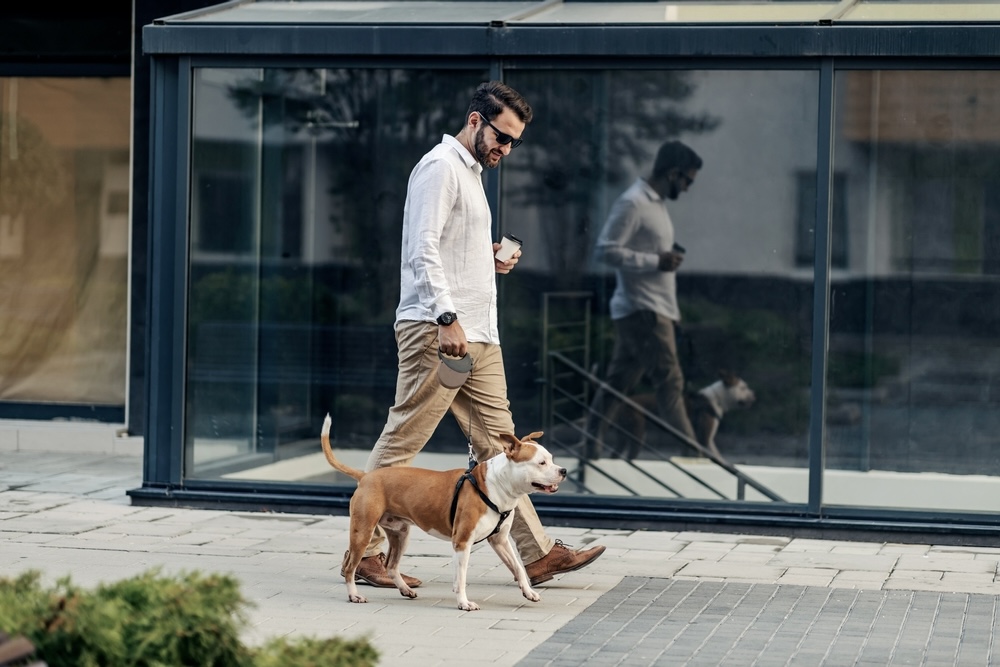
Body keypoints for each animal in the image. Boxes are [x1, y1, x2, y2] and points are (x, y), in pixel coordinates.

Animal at [322, 414, 568, 612]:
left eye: (552, 459)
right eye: (541, 463)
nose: (564, 470)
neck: (496, 484)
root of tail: (366, 476)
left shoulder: (500, 540)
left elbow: (517, 566)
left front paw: (528, 591)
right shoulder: (462, 542)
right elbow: (461, 577)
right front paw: (464, 603)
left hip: (400, 533)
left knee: (391, 566)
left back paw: (405, 589)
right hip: (363, 531)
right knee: (350, 566)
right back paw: (354, 595)